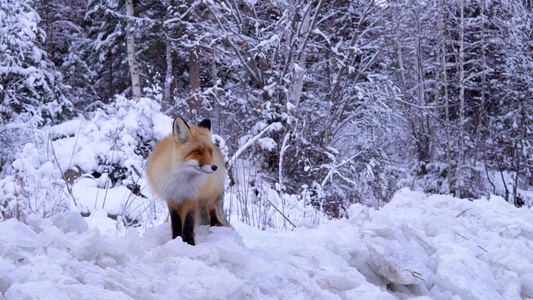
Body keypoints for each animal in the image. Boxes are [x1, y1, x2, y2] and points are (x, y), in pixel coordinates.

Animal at [147, 116, 230, 245]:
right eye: (197, 152)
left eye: (210, 152)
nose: (214, 167)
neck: (181, 181)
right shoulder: (172, 197)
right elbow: (176, 222)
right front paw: (176, 239)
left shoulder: (192, 196)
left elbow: (188, 222)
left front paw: (189, 243)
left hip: (210, 193)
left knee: (211, 209)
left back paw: (215, 225)